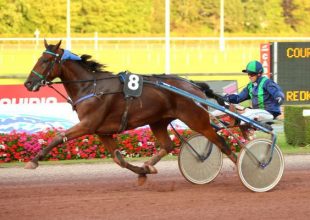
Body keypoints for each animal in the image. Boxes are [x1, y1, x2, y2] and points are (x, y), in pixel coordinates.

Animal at [24, 39, 237, 182]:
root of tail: (193, 85)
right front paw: (143, 172)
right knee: (169, 145)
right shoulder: (102, 131)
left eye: (44, 60)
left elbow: (58, 137)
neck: (92, 87)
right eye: (39, 58)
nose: (28, 83)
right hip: (157, 121)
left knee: (222, 142)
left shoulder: (88, 124)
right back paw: (148, 165)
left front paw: (33, 161)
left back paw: (241, 166)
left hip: (196, 119)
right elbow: (119, 159)